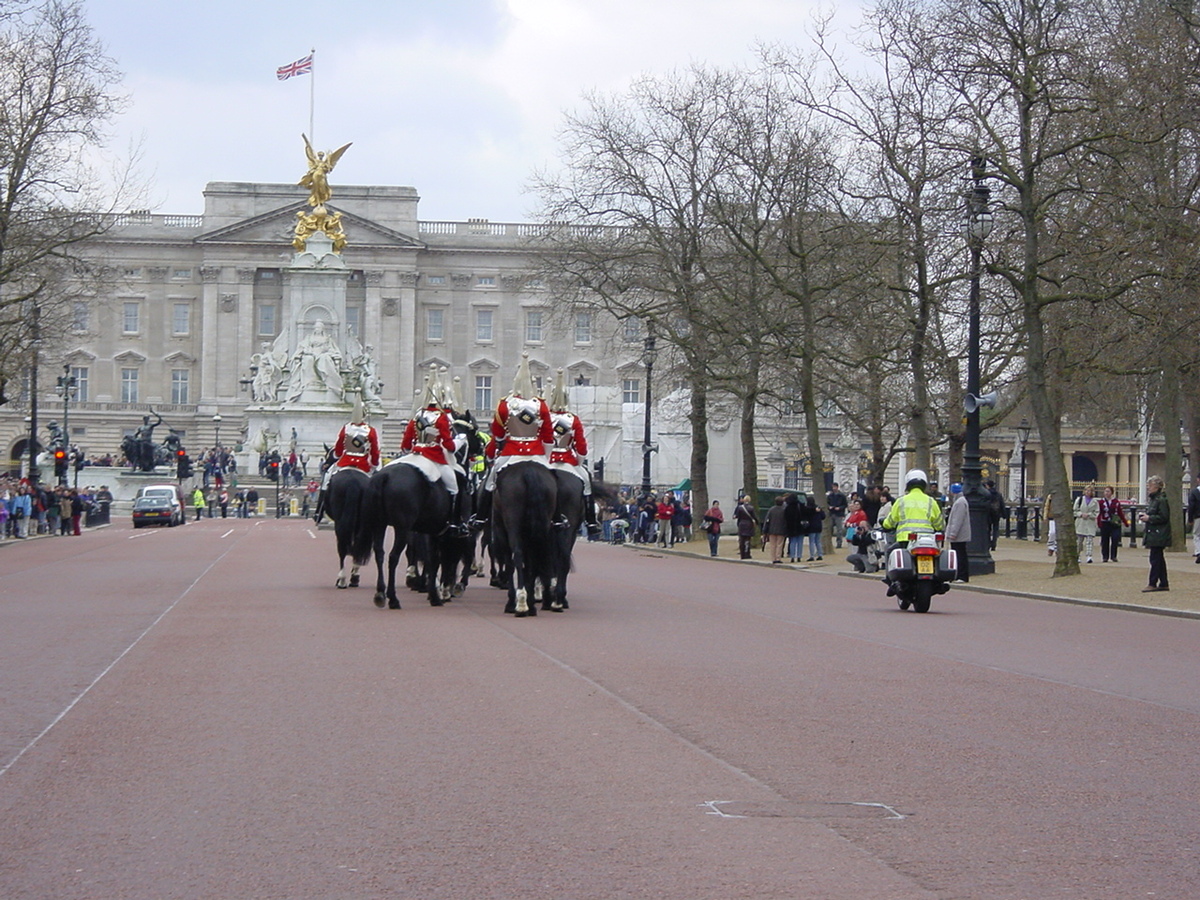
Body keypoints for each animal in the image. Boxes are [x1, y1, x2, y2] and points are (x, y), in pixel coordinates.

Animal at [492, 465, 556, 619]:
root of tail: (529, 471)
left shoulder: (501, 530)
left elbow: (510, 564)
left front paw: (511, 603)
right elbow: (529, 565)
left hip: (512, 526)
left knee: (517, 555)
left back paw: (520, 603)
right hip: (541, 528)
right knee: (535, 560)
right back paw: (532, 604)